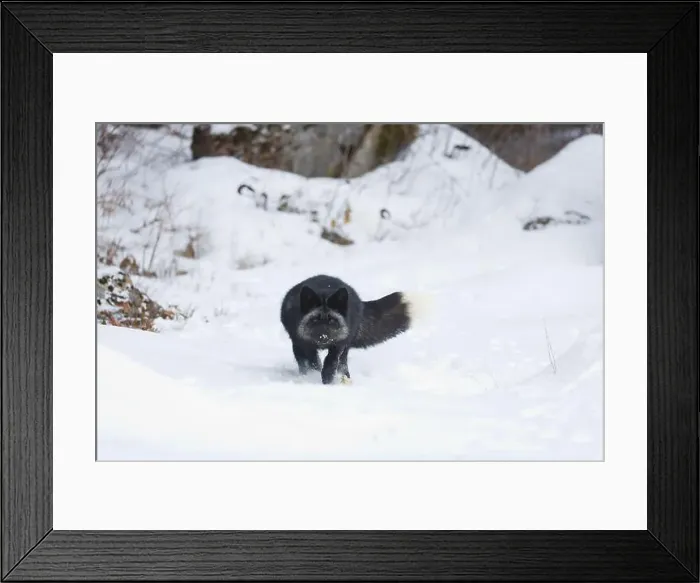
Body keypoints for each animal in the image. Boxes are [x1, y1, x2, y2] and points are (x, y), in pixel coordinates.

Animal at [280, 274, 415, 385]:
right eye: (314, 320)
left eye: (332, 321)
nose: (323, 336)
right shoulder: (302, 343)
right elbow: (313, 361)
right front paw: (314, 375)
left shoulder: (340, 343)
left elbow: (331, 360)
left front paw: (327, 377)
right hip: (297, 345)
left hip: (347, 343)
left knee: (342, 363)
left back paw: (344, 378)